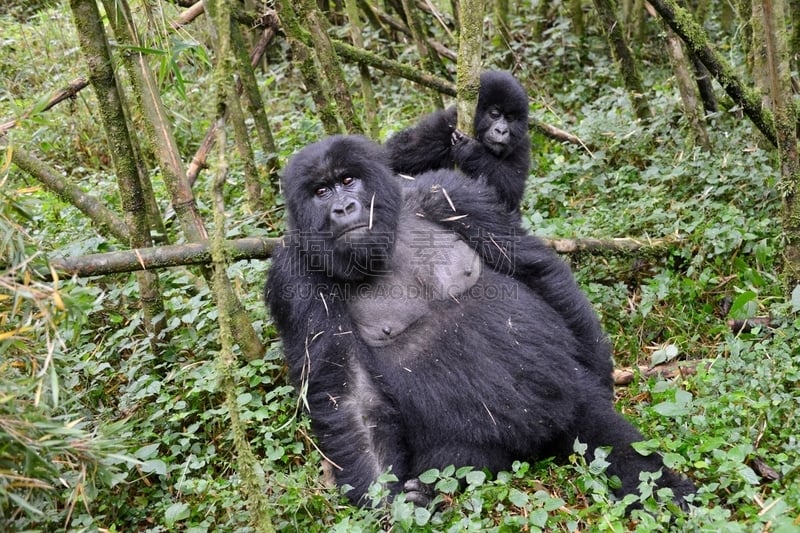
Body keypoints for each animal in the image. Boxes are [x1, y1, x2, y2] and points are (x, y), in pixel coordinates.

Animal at [264, 134, 692, 508]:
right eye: (321, 192)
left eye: (348, 180)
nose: (343, 209)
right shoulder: (294, 278)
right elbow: (349, 395)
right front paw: (390, 504)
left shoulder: (447, 193)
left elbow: (533, 266)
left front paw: (601, 372)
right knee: (462, 461)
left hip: (571, 402)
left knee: (616, 445)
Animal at [386, 69, 532, 211]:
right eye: (494, 114)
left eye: (510, 118)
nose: (501, 131)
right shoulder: (442, 126)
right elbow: (394, 155)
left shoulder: (521, 145)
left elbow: (511, 190)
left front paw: (472, 151)